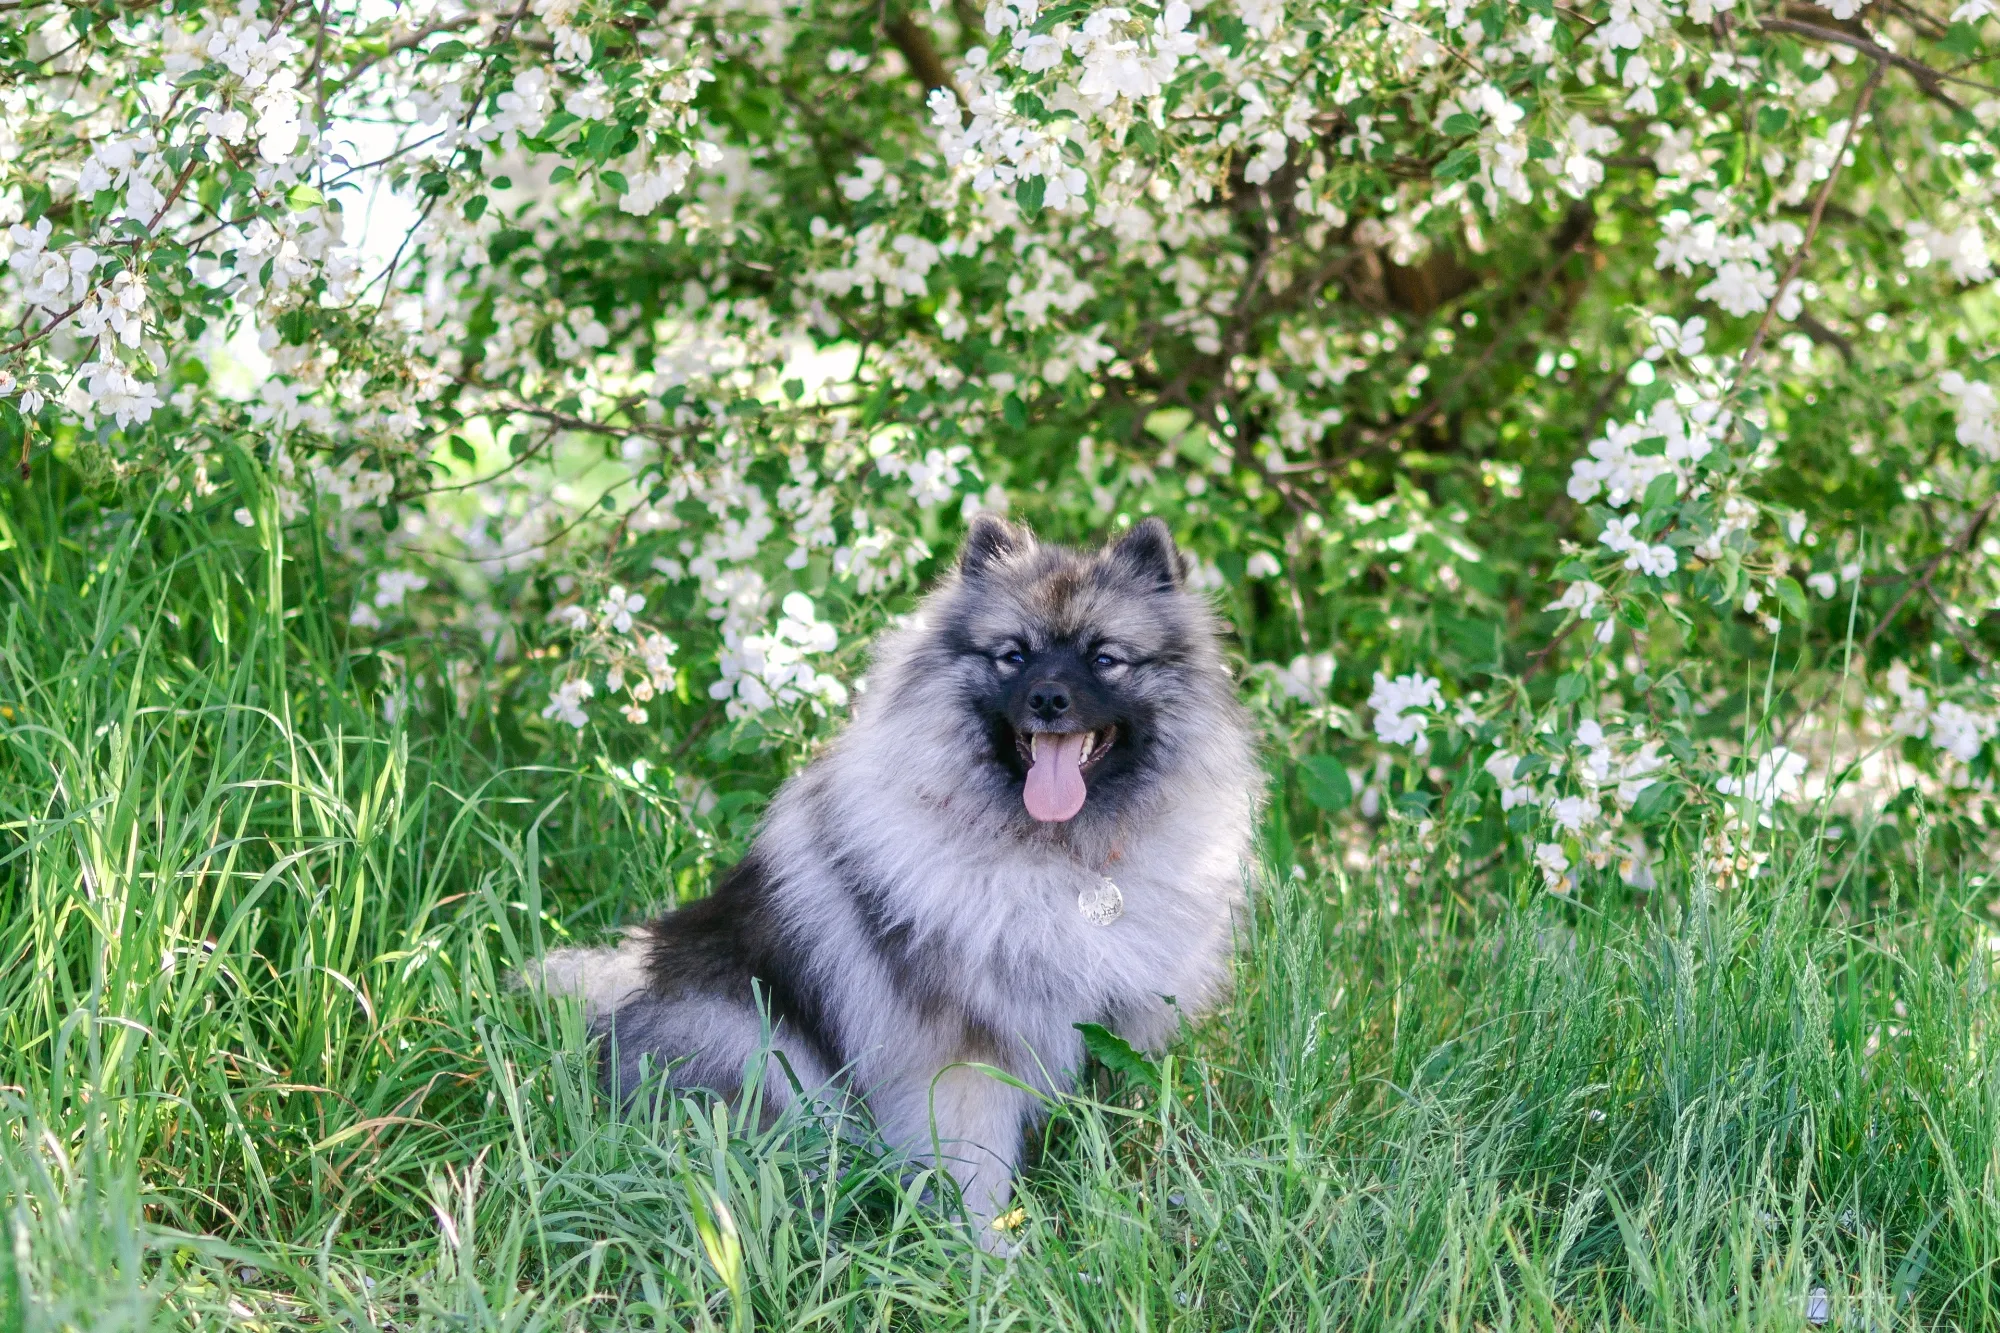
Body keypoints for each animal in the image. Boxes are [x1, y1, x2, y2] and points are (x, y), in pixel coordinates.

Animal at [532, 512, 1248, 1240]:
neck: (1058, 856)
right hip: (751, 1046)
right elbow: (974, 1168)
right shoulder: (965, 1057)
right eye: (1013, 655)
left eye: (1104, 658)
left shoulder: (1113, 1031)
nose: (1049, 698)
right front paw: (993, 1255)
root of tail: (626, 987)